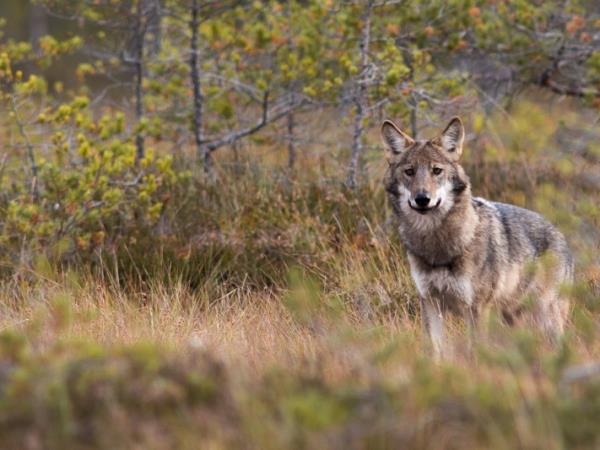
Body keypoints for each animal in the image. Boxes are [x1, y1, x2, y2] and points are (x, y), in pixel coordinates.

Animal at [382, 118, 576, 356]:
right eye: (410, 171)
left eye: (436, 171)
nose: (422, 199)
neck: (438, 247)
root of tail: (560, 234)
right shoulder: (429, 303)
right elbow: (434, 351)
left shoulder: (477, 309)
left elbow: (476, 351)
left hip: (546, 318)